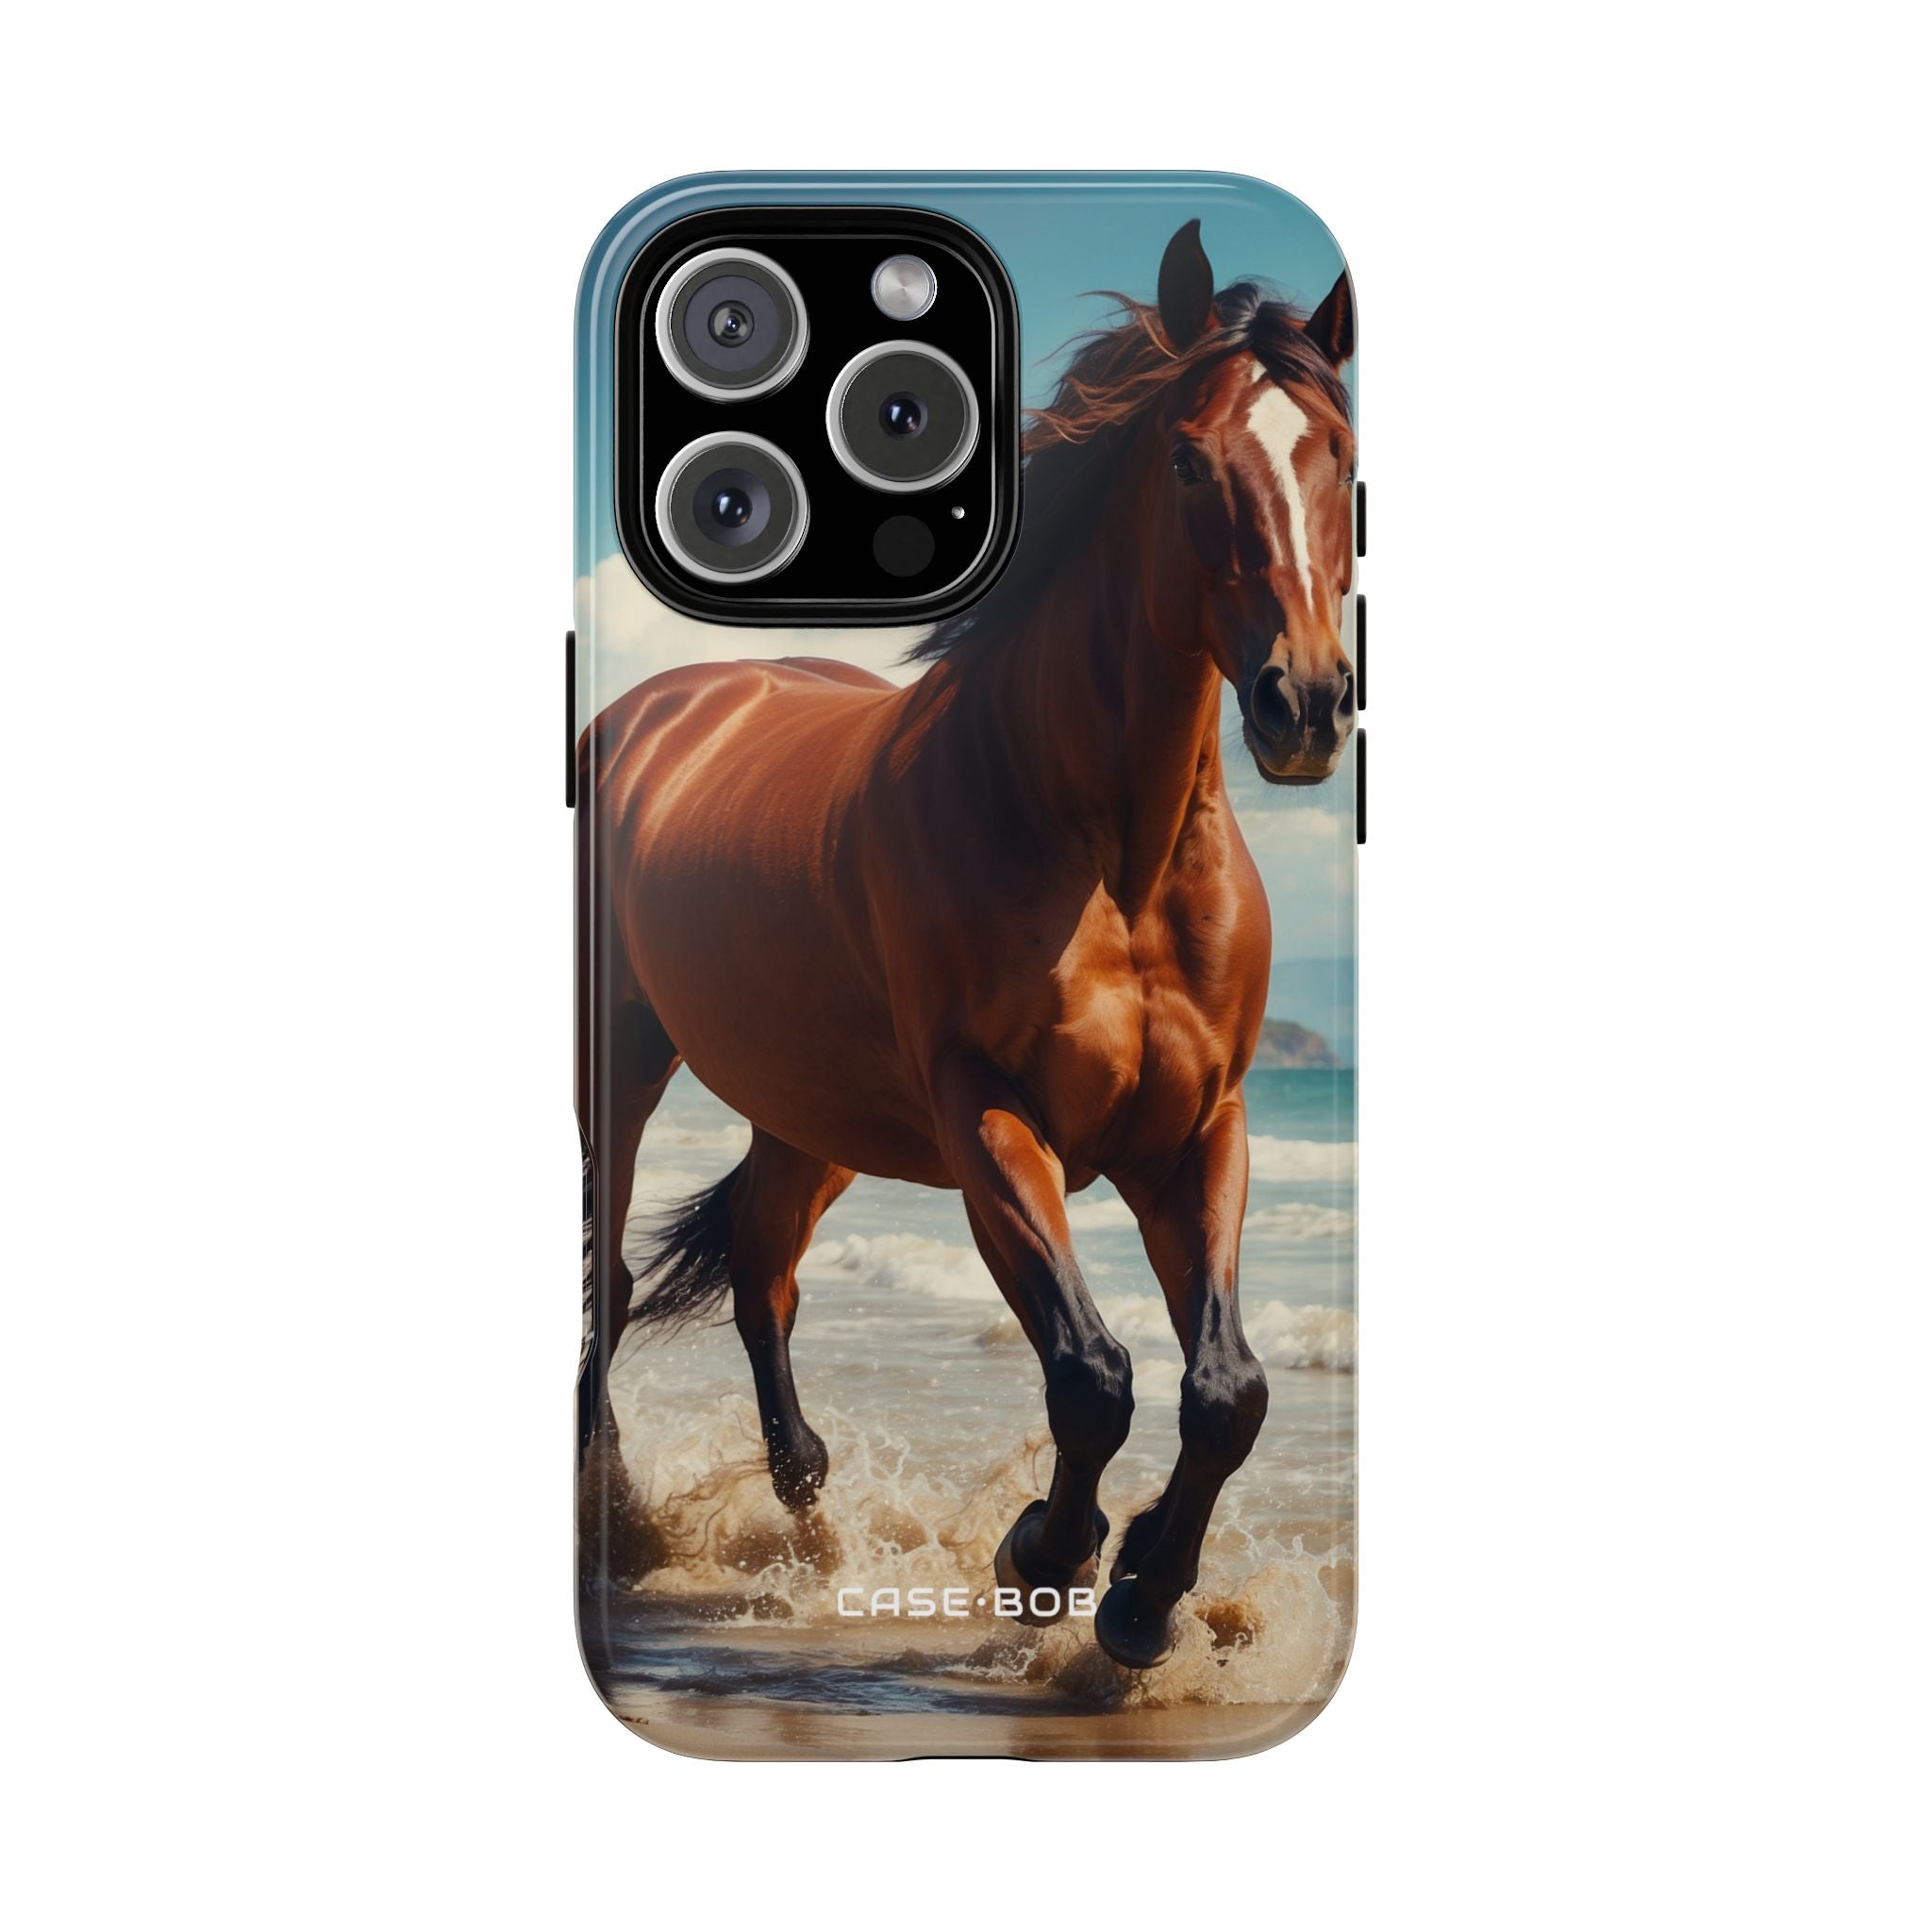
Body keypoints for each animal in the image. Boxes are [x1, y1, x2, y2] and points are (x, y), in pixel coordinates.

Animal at [576, 219, 1357, 1669]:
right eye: (1185, 457)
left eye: (1339, 451)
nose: (1308, 704)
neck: (1106, 850)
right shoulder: (989, 1117)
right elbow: (1092, 1376)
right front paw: (1048, 1556)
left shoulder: (1199, 1130)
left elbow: (1225, 1390)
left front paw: (1145, 1595)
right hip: (623, 1070)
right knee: (606, 1271)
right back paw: (622, 1511)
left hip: (809, 1114)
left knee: (762, 1277)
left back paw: (809, 1519)